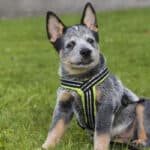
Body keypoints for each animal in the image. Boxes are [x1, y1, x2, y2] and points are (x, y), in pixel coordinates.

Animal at [42, 2, 150, 150]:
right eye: (70, 44)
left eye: (90, 40)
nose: (86, 51)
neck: (82, 79)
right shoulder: (63, 104)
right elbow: (54, 130)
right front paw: (45, 146)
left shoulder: (105, 105)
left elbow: (101, 135)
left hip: (141, 105)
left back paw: (140, 142)